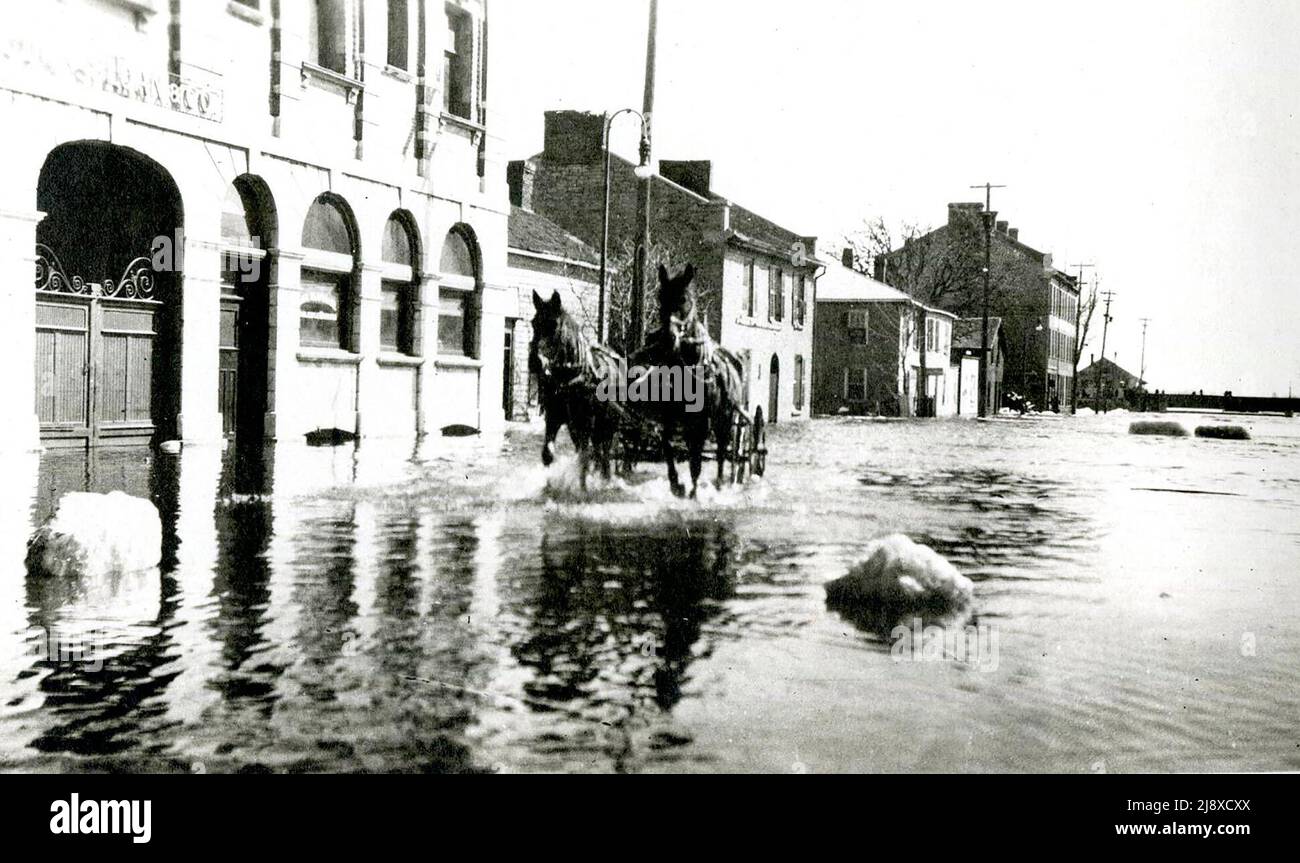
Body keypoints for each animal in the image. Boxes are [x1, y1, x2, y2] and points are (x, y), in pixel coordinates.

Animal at [530, 289, 626, 491]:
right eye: (534, 323)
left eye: (553, 324)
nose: (534, 361)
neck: (568, 378)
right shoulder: (554, 418)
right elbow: (548, 454)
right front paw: (548, 487)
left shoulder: (586, 420)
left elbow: (584, 456)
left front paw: (582, 489)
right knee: (595, 450)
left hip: (608, 422)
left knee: (604, 450)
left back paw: (605, 479)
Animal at [647, 261, 748, 499]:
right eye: (660, 296)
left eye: (684, 299)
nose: (668, 338)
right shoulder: (670, 416)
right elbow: (667, 444)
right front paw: (676, 484)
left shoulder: (701, 420)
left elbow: (696, 457)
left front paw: (693, 491)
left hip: (724, 417)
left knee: (721, 450)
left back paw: (720, 483)